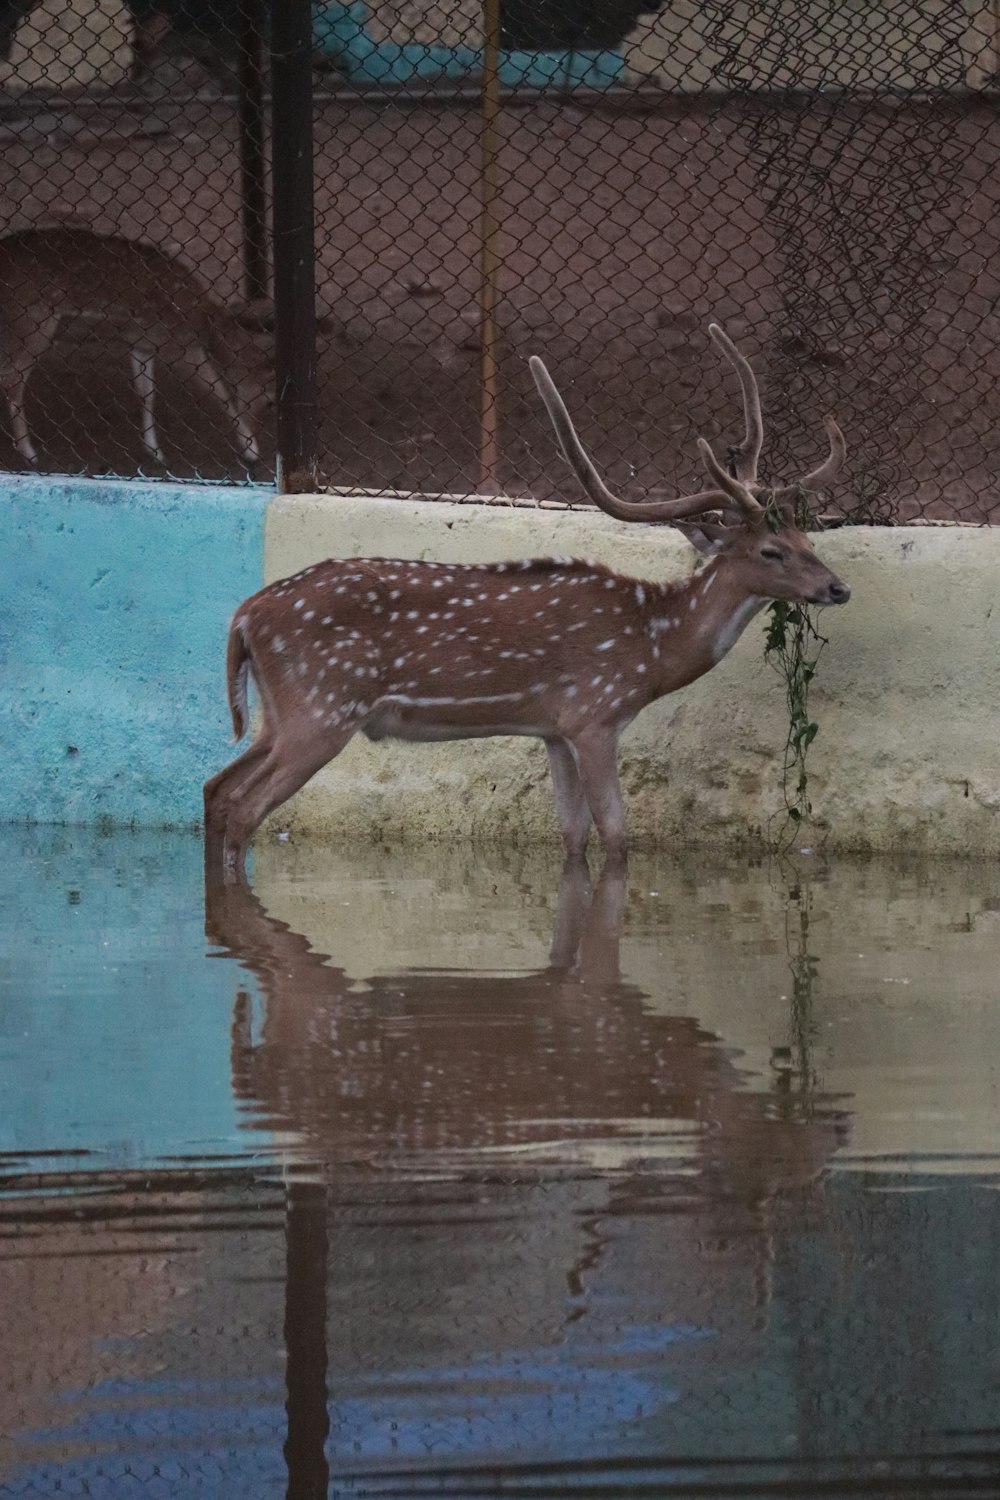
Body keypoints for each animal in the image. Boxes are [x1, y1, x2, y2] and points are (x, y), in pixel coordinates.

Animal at [206, 319, 851, 876]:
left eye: (807, 536)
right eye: (770, 550)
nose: (838, 587)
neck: (653, 646)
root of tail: (243, 617)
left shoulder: (553, 729)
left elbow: (572, 835)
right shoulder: (594, 712)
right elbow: (616, 836)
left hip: (279, 714)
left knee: (214, 788)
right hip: (321, 706)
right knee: (244, 806)